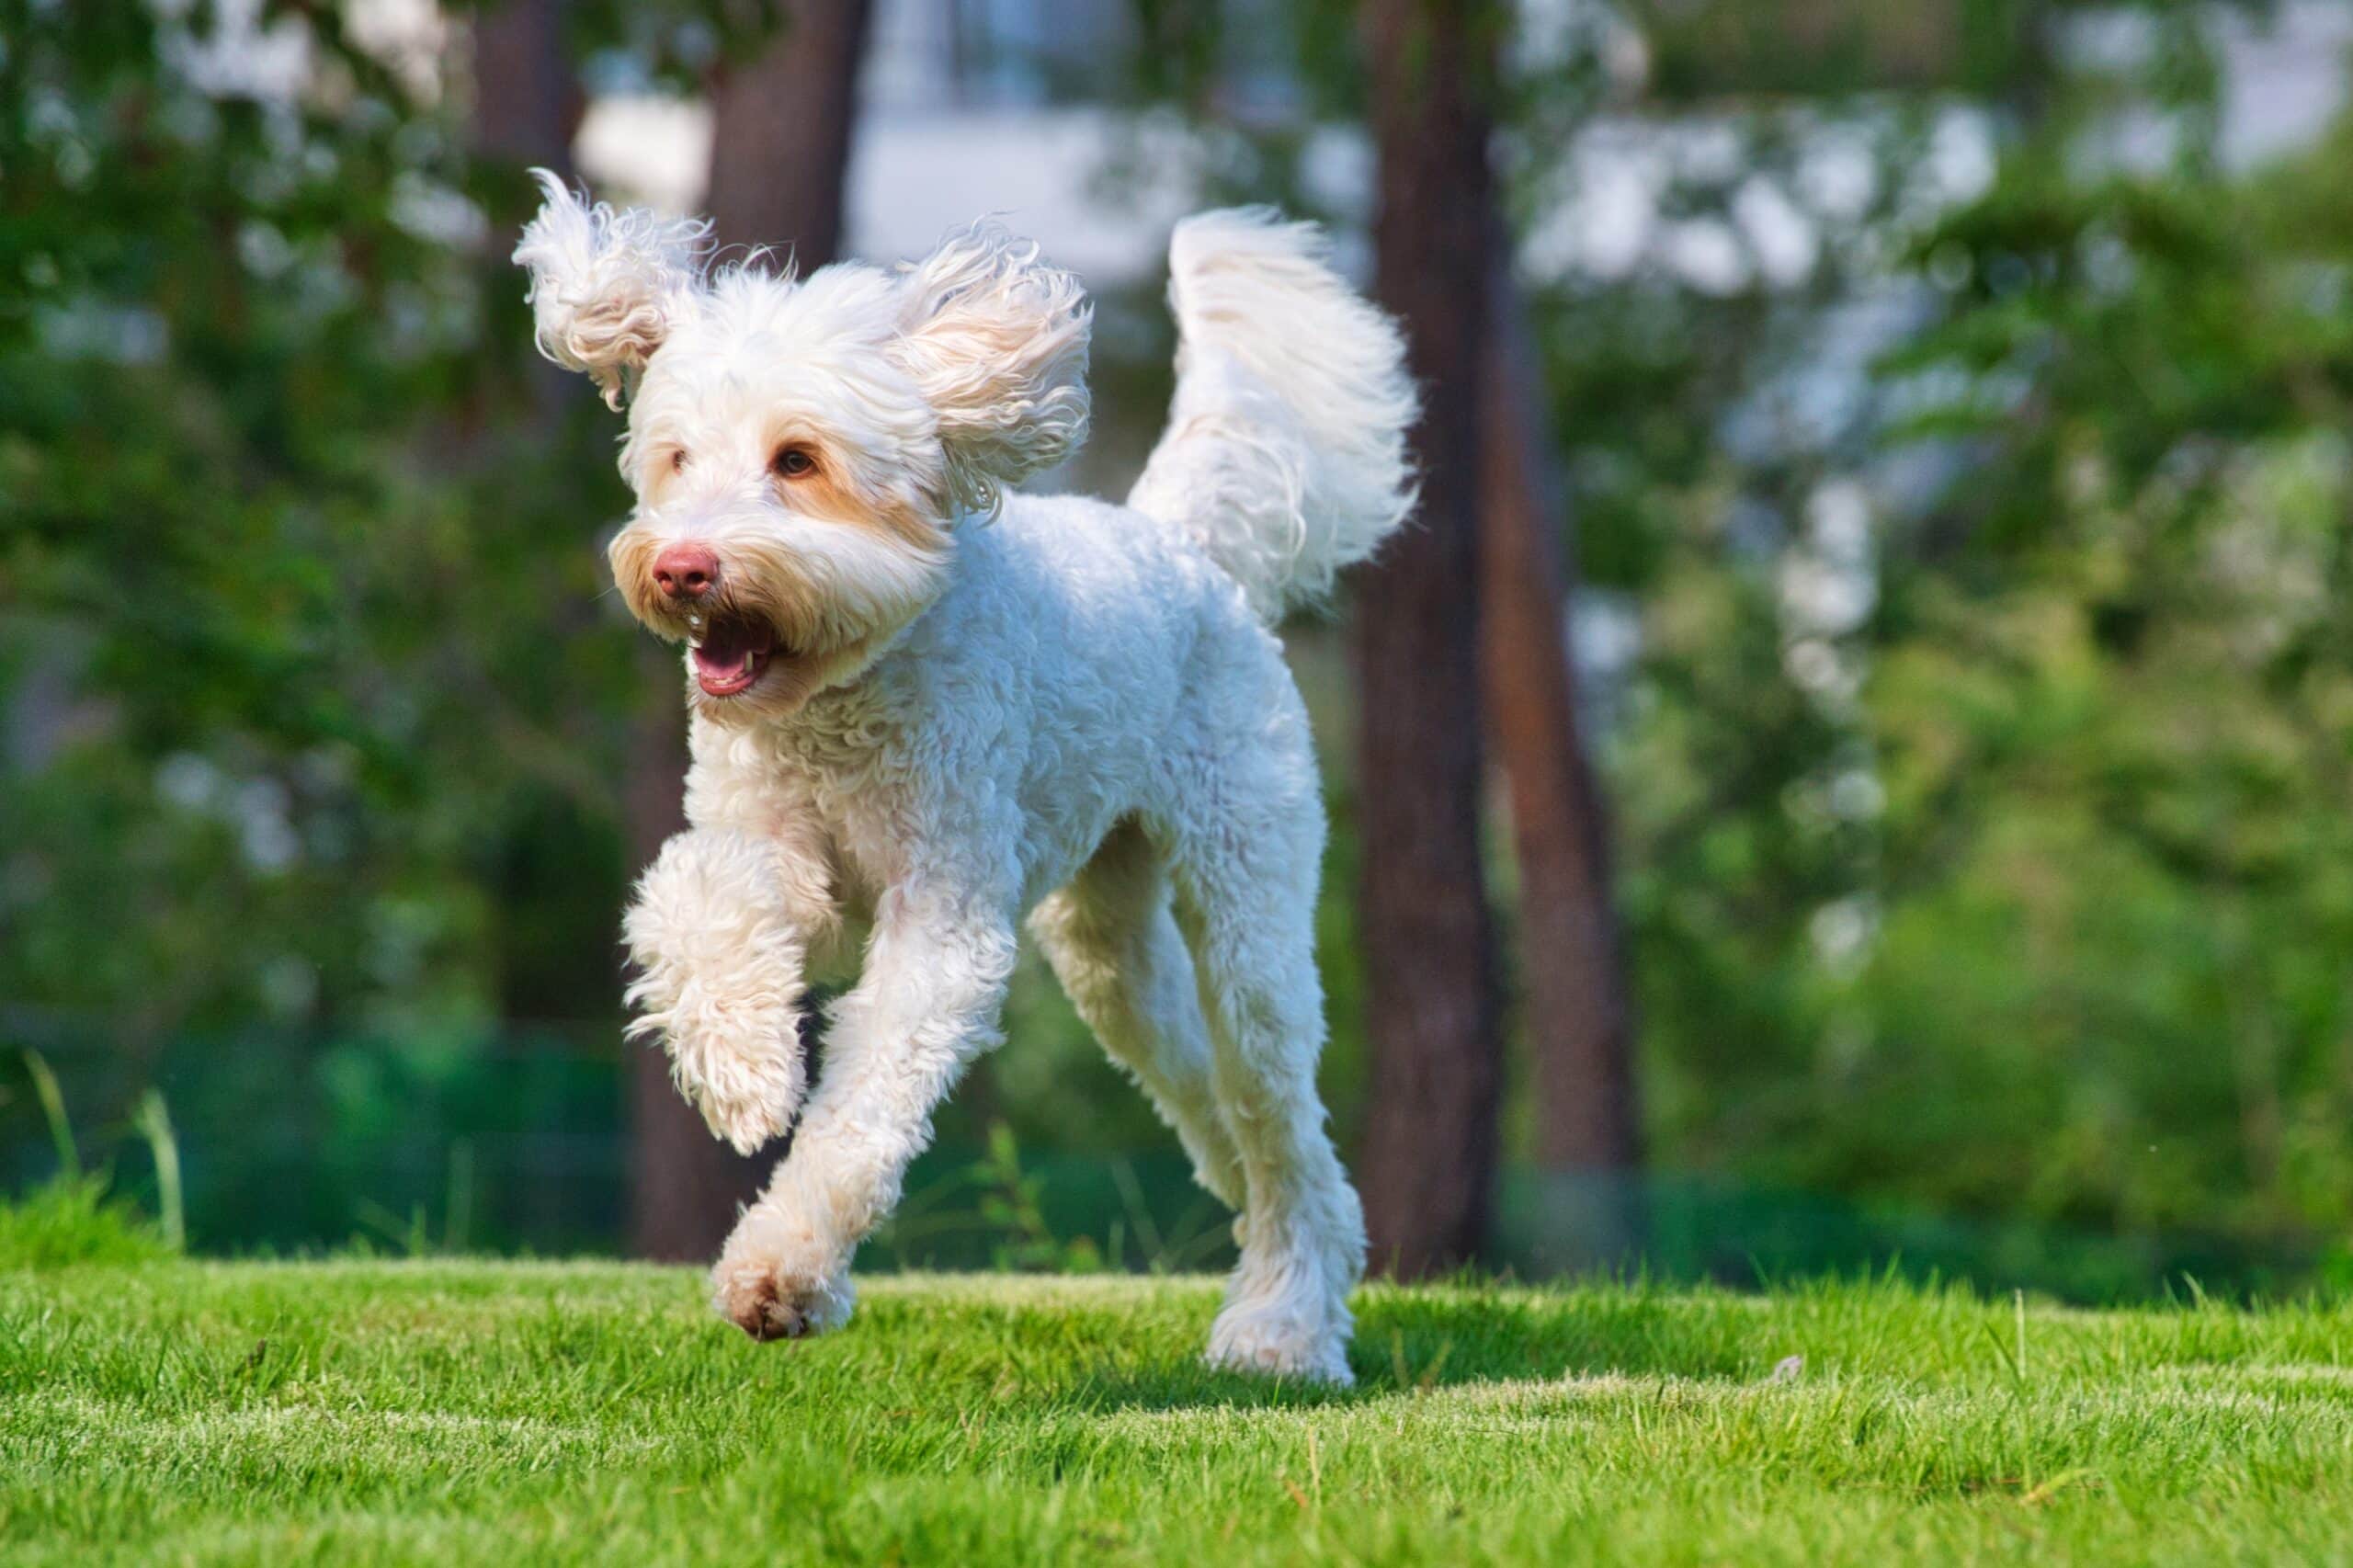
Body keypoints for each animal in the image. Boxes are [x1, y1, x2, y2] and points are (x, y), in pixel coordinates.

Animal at [515, 174, 1412, 1384]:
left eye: (797, 460)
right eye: (676, 459)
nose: (683, 566)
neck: (843, 697)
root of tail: (1177, 545)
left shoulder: (939, 917)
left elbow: (866, 1108)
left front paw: (783, 1270)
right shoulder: (779, 855)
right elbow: (702, 901)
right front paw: (745, 1069)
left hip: (1247, 901)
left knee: (1282, 1119)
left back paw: (1284, 1324)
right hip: (1110, 955)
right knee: (1215, 1102)